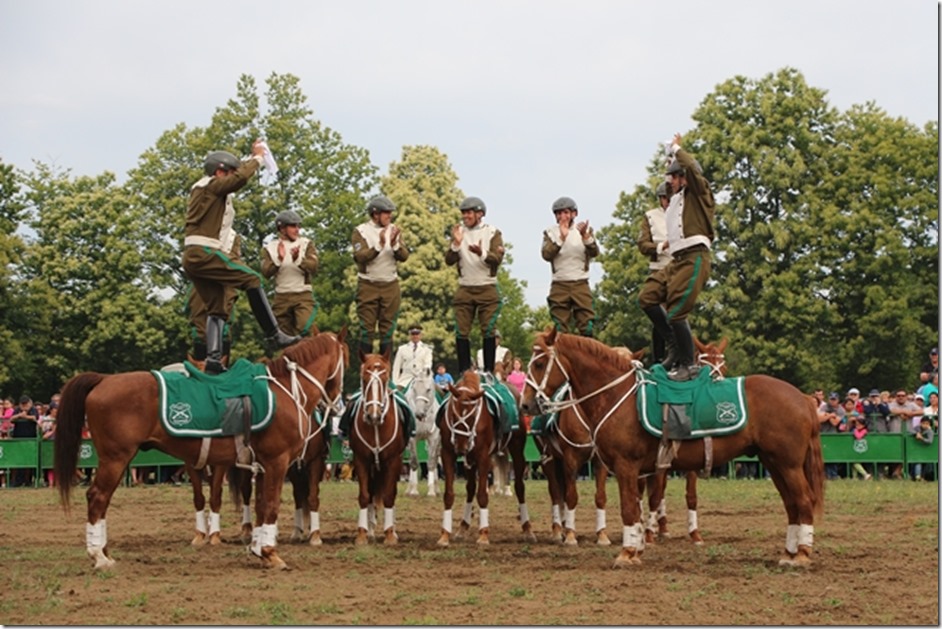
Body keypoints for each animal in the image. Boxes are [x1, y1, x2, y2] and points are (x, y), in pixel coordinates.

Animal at [52, 328, 346, 568]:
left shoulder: (261, 466)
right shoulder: (276, 462)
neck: (285, 390)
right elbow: (271, 506)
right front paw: (270, 553)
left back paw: (104, 552)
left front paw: (258, 549)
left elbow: (261, 506)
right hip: (115, 459)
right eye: (347, 358)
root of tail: (104, 379)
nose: (336, 403)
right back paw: (98, 556)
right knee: (98, 497)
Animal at [344, 348, 408, 544]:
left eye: (385, 378)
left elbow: (388, 496)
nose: (374, 414)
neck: (376, 427)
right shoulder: (361, 460)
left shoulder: (393, 461)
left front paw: (390, 535)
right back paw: (371, 528)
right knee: (372, 493)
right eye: (364, 379)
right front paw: (362, 534)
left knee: (391, 493)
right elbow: (365, 496)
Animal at [404, 368, 444, 496]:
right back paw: (409, 488)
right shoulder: (412, 439)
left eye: (428, 389)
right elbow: (414, 462)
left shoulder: (434, 438)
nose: (419, 414)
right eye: (414, 389)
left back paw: (436, 488)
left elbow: (431, 463)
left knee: (435, 460)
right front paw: (414, 490)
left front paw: (431, 491)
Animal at [436, 370, 536, 544]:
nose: (461, 447)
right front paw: (445, 534)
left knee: (519, 487)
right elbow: (449, 494)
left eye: (472, 417)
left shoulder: (483, 457)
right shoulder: (448, 454)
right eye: (453, 414)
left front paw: (483, 534)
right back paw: (463, 526)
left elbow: (482, 494)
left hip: (517, 451)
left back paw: (527, 528)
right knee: (470, 488)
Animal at [524, 328, 824, 568]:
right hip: (774, 463)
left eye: (539, 363)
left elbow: (629, 509)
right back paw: (788, 552)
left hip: (787, 464)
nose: (526, 404)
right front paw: (636, 548)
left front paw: (627, 552)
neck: (618, 396)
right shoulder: (635, 470)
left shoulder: (626, 465)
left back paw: (801, 554)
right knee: (792, 505)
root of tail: (804, 398)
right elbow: (638, 507)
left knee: (803, 501)